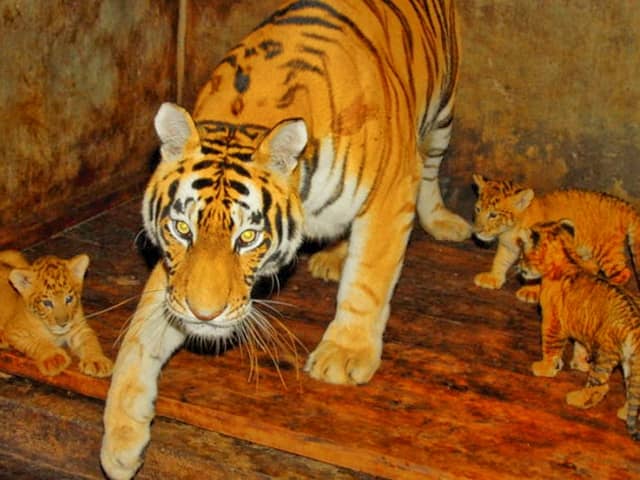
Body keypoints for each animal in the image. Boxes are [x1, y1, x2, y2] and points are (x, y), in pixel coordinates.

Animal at [101, 1, 470, 478]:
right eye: (183, 229)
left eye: (247, 236)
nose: (204, 315)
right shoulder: (173, 277)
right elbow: (140, 336)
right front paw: (121, 440)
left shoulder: (391, 189)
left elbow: (368, 281)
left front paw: (344, 356)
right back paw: (333, 258)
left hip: (442, 110)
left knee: (432, 167)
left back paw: (442, 222)